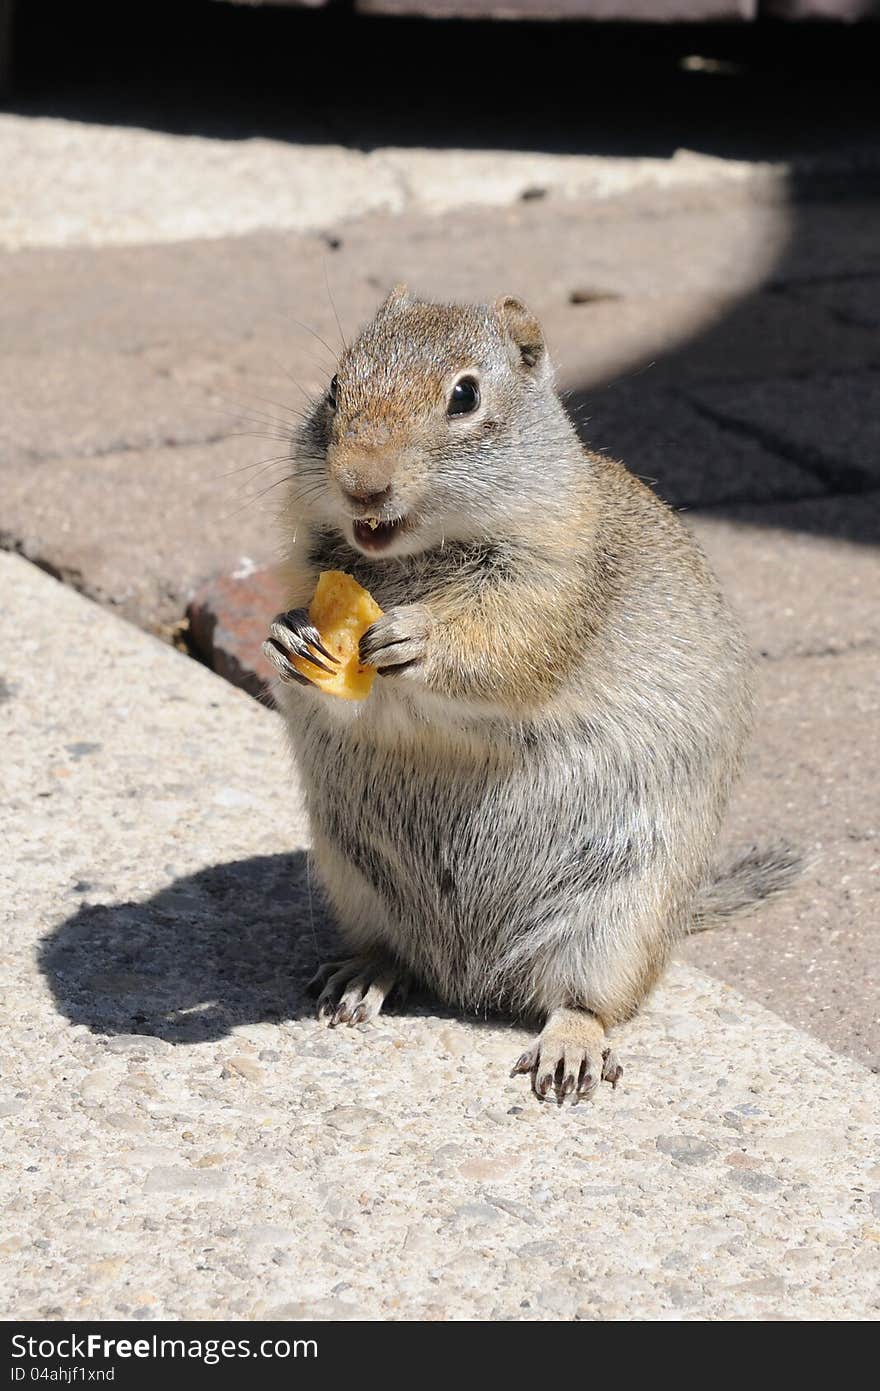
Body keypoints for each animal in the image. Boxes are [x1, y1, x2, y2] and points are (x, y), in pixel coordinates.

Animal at [262, 287, 795, 1101]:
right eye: (333, 387)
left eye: (465, 396)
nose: (360, 481)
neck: (410, 563)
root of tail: (467, 975)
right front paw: (289, 636)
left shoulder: (555, 586)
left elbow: (506, 647)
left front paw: (419, 640)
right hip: (352, 878)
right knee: (398, 953)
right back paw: (364, 974)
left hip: (618, 920)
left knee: (588, 1002)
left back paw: (569, 1047)